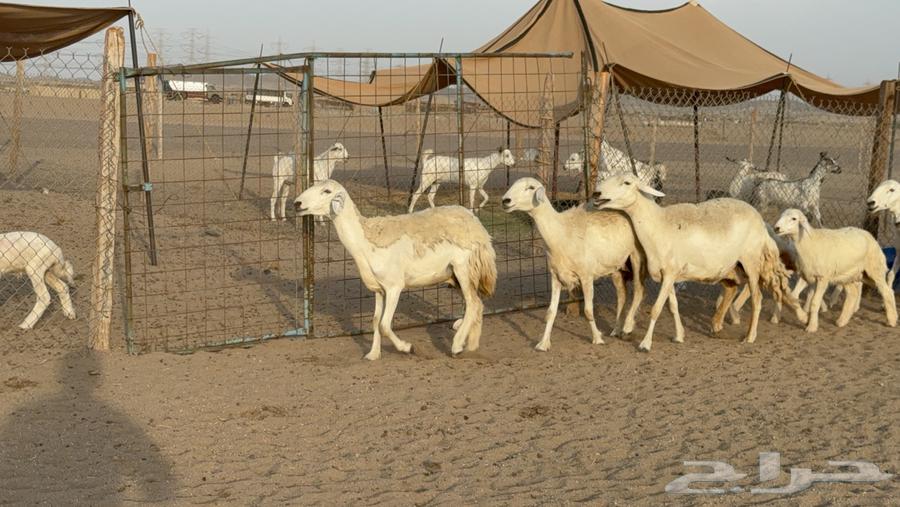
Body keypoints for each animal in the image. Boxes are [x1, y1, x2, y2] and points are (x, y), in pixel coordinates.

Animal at [294, 180, 497, 360]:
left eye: (327, 191)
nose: (297, 203)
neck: (365, 240)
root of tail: (476, 224)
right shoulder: (379, 289)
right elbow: (375, 321)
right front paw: (373, 354)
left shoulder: (394, 286)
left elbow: (384, 325)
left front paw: (407, 348)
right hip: (455, 275)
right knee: (478, 304)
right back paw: (471, 345)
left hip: (463, 268)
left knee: (473, 304)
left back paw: (457, 346)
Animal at [501, 177, 644, 351]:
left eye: (531, 187)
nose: (505, 201)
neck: (562, 232)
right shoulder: (555, 276)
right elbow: (551, 312)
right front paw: (543, 343)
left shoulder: (586, 276)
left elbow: (588, 311)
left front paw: (597, 338)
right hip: (615, 265)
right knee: (622, 295)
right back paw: (616, 329)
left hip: (636, 257)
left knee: (638, 290)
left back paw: (627, 328)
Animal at [592, 174, 806, 351]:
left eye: (627, 182)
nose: (596, 192)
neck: (658, 225)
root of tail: (762, 223)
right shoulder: (669, 274)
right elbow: (672, 306)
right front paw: (679, 336)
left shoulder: (669, 274)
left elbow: (656, 309)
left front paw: (645, 343)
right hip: (733, 267)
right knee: (732, 290)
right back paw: (718, 325)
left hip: (751, 262)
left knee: (757, 299)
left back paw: (750, 336)